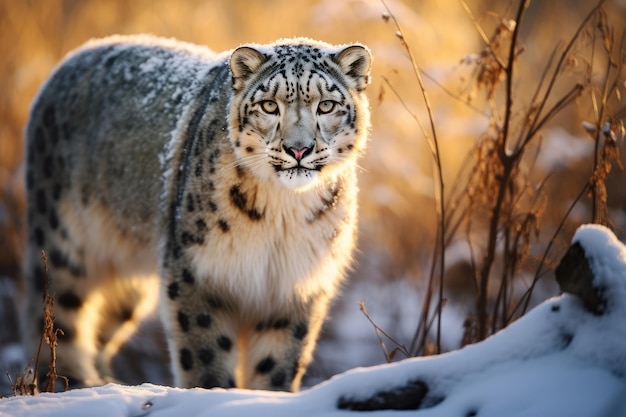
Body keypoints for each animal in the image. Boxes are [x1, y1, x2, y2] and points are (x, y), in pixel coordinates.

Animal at [22, 34, 368, 392]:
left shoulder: (294, 286)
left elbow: (277, 365)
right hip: (62, 242)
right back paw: (70, 384)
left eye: (326, 105)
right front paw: (213, 393)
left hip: (130, 275)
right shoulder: (197, 274)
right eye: (269, 105)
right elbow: (205, 356)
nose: (298, 149)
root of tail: (70, 60)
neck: (283, 215)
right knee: (56, 319)